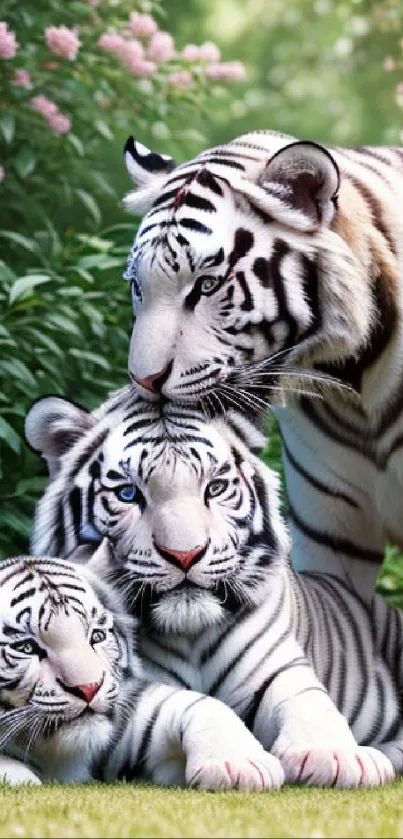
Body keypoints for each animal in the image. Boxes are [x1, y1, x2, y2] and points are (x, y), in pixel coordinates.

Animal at [0, 556, 284, 792]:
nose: (90, 688)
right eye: (26, 648)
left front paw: (241, 764)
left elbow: (195, 703)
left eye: (97, 637)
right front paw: (19, 777)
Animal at [24, 388, 398, 788]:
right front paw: (233, 761)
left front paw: (337, 756)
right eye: (127, 494)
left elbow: (309, 702)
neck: (190, 632)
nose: (185, 555)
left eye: (215, 488)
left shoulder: (279, 668)